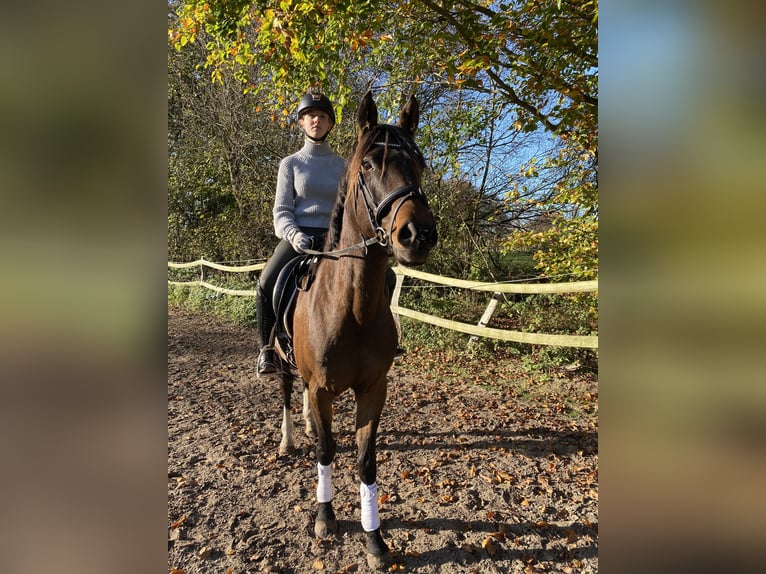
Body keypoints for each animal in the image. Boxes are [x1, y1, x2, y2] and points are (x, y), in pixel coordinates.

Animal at [274, 92, 438, 568]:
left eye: (419, 162)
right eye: (367, 165)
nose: (418, 234)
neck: (351, 310)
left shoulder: (373, 389)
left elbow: (366, 462)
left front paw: (374, 539)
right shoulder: (322, 388)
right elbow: (327, 451)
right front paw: (324, 518)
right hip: (283, 362)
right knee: (288, 392)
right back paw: (289, 439)